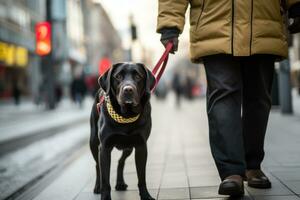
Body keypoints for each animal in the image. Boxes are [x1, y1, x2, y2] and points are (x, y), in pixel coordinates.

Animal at [89, 62, 156, 200]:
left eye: (138, 76)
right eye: (118, 76)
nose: (128, 89)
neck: (126, 115)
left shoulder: (141, 146)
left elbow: (142, 177)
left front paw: (145, 196)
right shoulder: (104, 148)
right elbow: (105, 179)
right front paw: (105, 196)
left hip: (128, 147)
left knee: (121, 161)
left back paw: (120, 183)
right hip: (93, 142)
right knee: (97, 165)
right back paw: (97, 186)